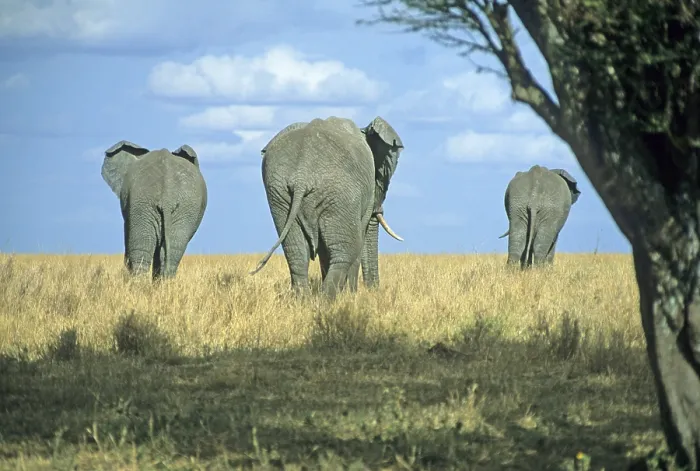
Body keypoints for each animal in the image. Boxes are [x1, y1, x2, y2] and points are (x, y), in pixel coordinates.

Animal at [250, 116, 405, 299]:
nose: (373, 291)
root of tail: (302, 175)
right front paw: (351, 297)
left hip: (279, 192)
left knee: (296, 252)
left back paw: (304, 301)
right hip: (339, 192)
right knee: (347, 250)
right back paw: (326, 301)